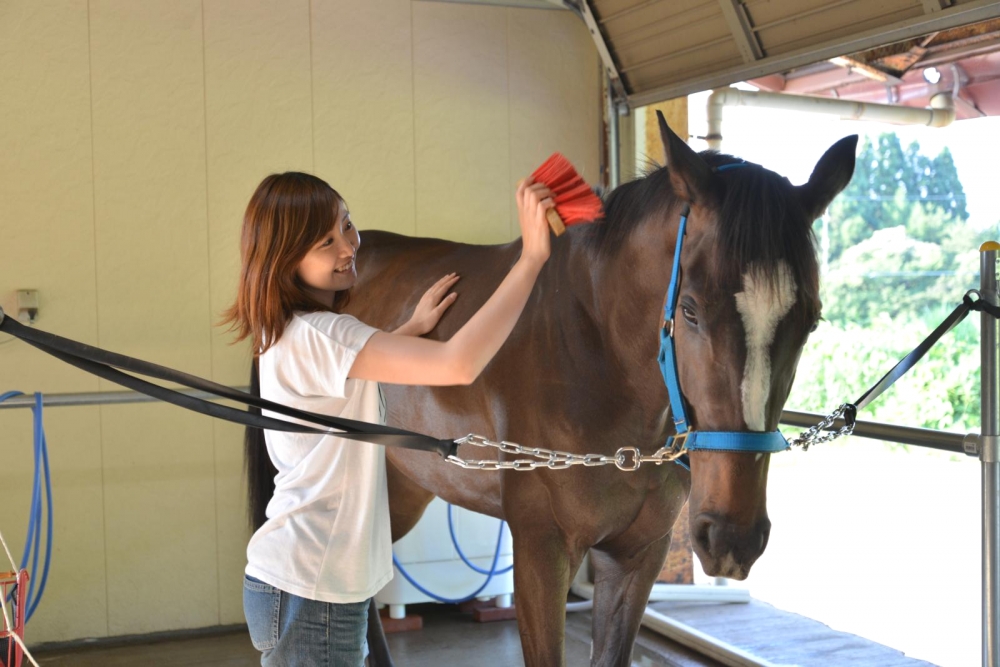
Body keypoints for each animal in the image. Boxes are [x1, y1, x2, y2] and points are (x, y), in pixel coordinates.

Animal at [245, 114, 857, 666]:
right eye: (689, 310)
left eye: (811, 320)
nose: (732, 538)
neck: (597, 353)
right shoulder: (541, 549)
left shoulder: (638, 555)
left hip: (401, 486)